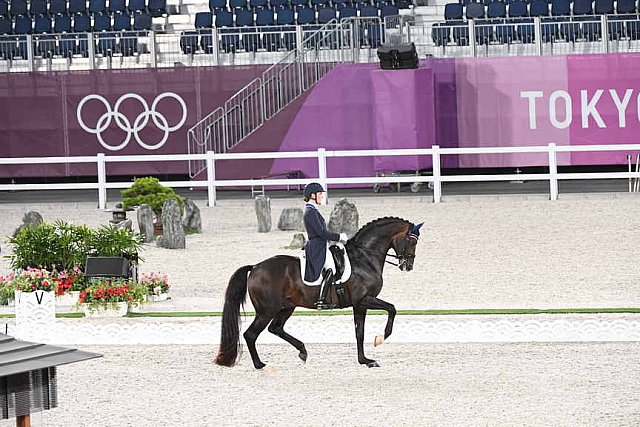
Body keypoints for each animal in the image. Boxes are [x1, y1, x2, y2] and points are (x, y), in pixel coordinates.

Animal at [215, 217, 422, 368]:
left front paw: (365, 361)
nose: (408, 265)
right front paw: (381, 338)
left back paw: (302, 351)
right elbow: (392, 308)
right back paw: (260, 365)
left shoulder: (359, 305)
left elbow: (359, 333)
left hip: (286, 307)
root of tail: (255, 267)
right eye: (410, 240)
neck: (365, 257)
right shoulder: (364, 299)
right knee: (251, 334)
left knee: (276, 328)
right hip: (267, 310)